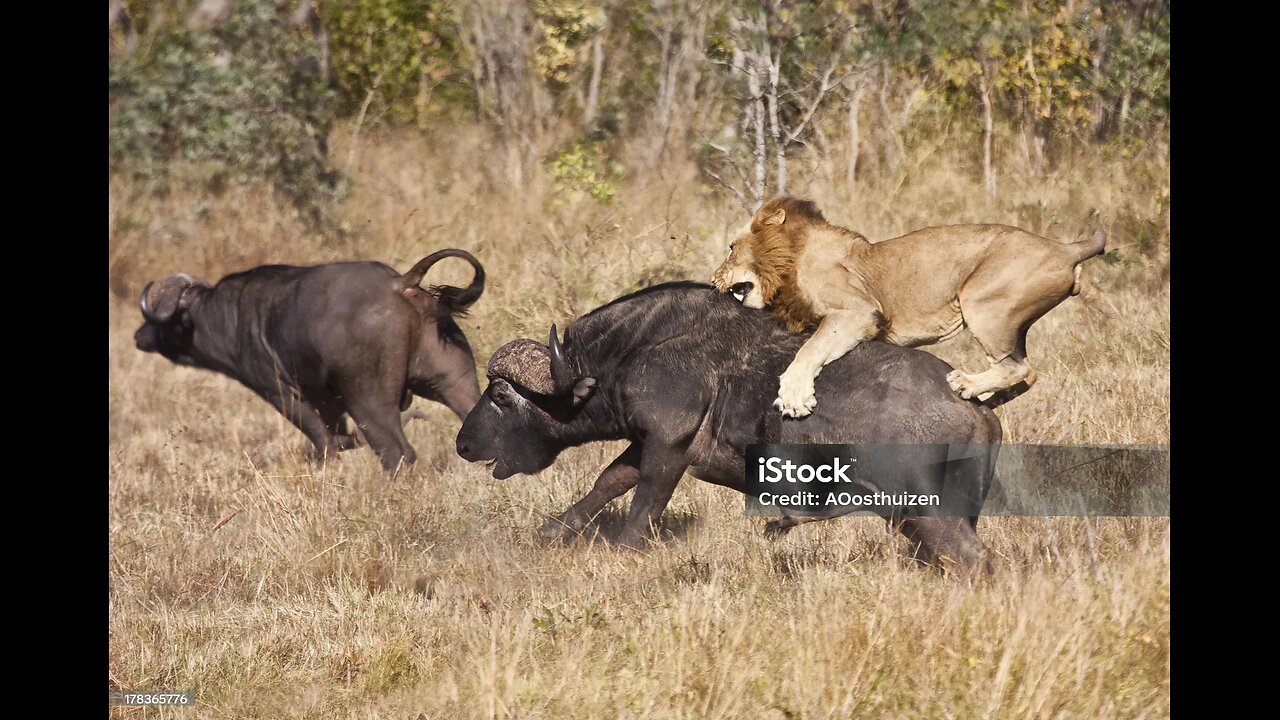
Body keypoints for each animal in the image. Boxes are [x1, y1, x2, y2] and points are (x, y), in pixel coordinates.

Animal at [135, 249, 483, 468]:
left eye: (161, 318)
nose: (139, 335)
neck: (228, 316)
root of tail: (399, 284)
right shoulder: (329, 403)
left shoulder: (282, 394)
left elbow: (324, 443)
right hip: (454, 382)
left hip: (368, 401)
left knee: (397, 453)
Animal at [455, 280, 1003, 571]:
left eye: (501, 395)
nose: (462, 443)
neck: (632, 351)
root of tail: (976, 408)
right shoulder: (645, 443)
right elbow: (608, 480)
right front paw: (553, 530)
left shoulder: (667, 448)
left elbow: (644, 504)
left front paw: (625, 551)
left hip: (926, 509)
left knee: (973, 557)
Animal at [711, 196, 1111, 420]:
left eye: (731, 247)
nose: (713, 276)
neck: (789, 261)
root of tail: (1064, 248)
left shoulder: (859, 312)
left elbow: (809, 351)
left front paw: (794, 398)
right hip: (1011, 322)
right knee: (1027, 374)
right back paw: (985, 398)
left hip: (983, 304)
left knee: (1020, 369)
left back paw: (965, 384)